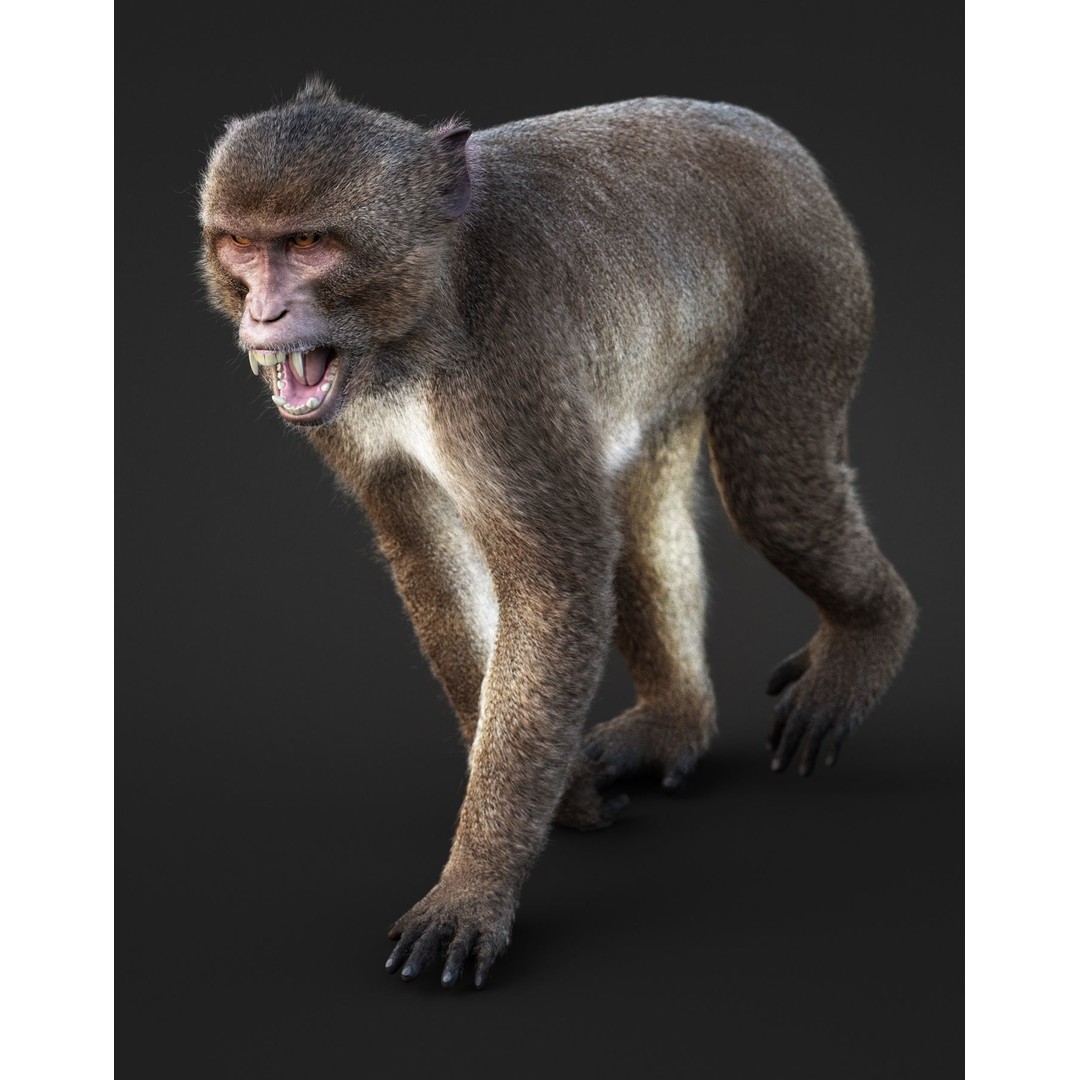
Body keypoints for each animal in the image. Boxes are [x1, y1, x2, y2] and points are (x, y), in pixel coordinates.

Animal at [198, 77, 917, 990]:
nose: (265, 311)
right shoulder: (356, 421)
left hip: (810, 282)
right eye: (241, 247)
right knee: (638, 511)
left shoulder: (508, 375)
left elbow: (558, 579)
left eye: (311, 244)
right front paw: (565, 793)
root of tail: (773, 136)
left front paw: (474, 886)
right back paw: (677, 723)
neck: (430, 308)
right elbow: (436, 565)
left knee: (771, 489)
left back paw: (870, 633)